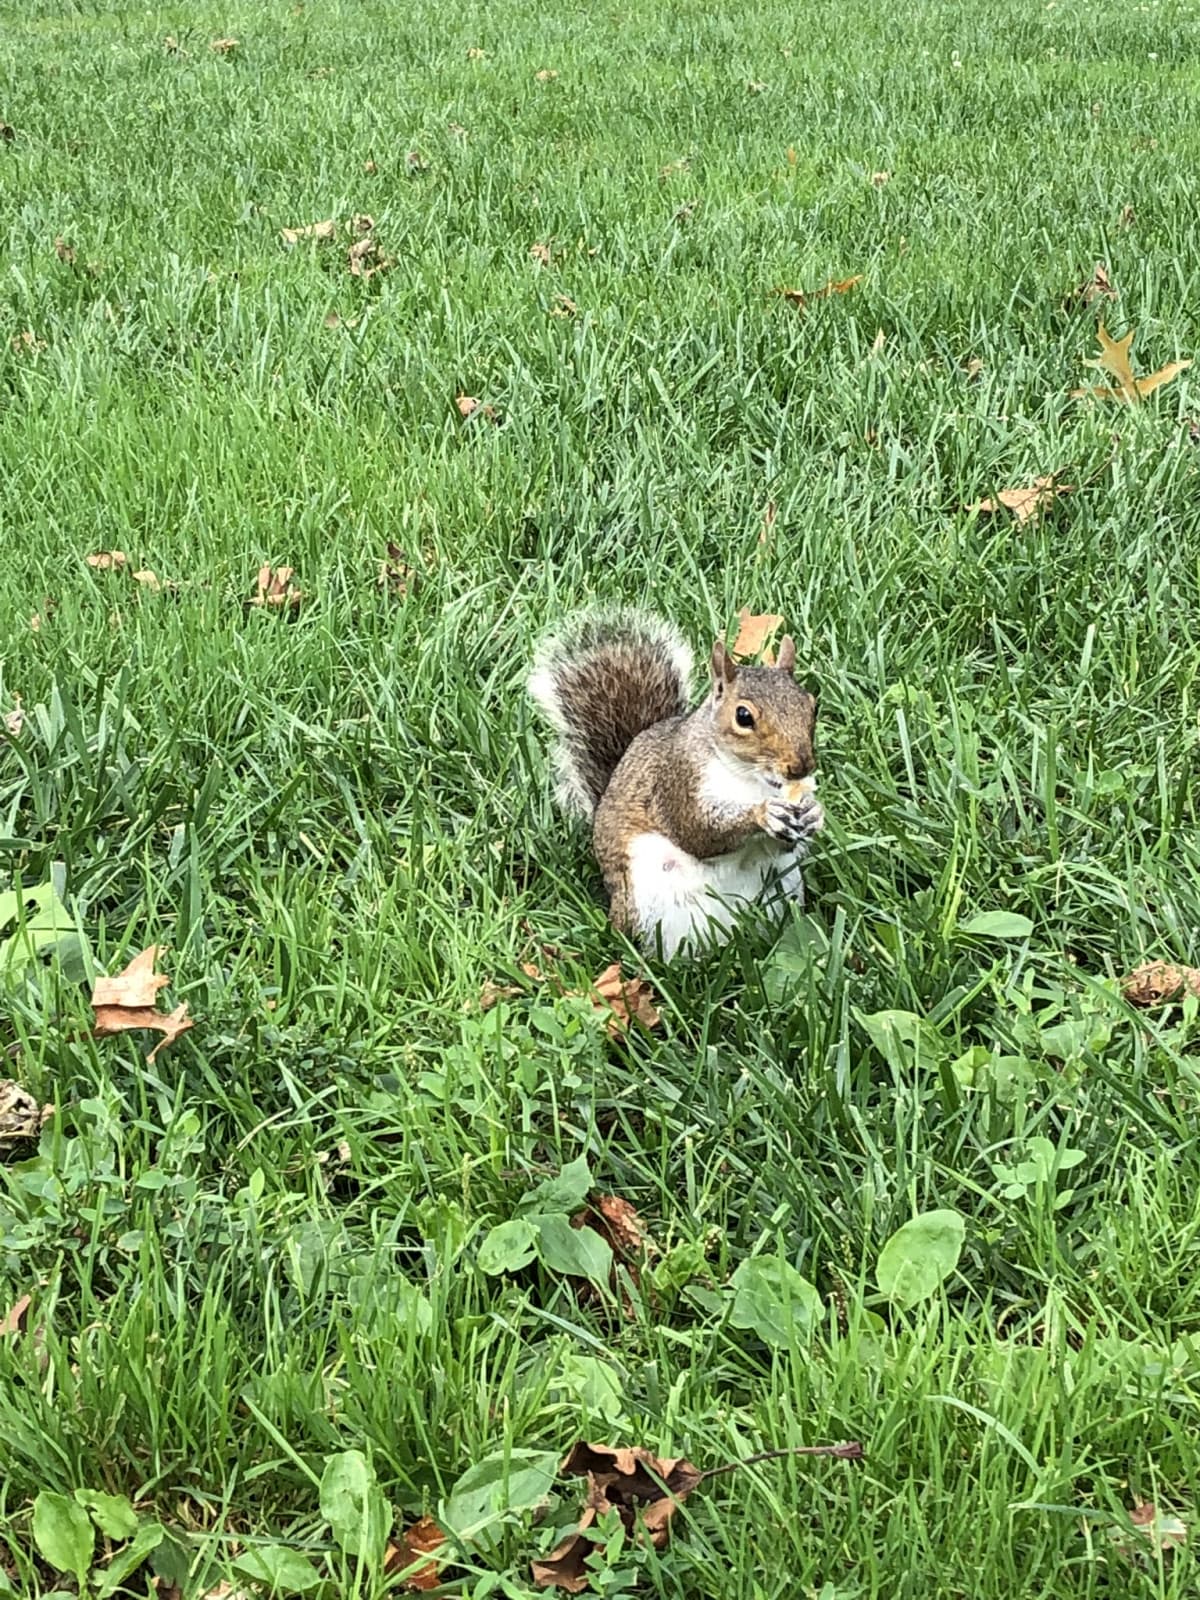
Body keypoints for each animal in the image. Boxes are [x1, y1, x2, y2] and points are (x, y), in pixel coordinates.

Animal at [528, 608, 825, 960]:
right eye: (743, 716)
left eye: (812, 705)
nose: (801, 765)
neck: (752, 778)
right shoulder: (676, 781)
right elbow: (697, 831)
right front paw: (763, 814)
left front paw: (814, 814)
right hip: (649, 898)